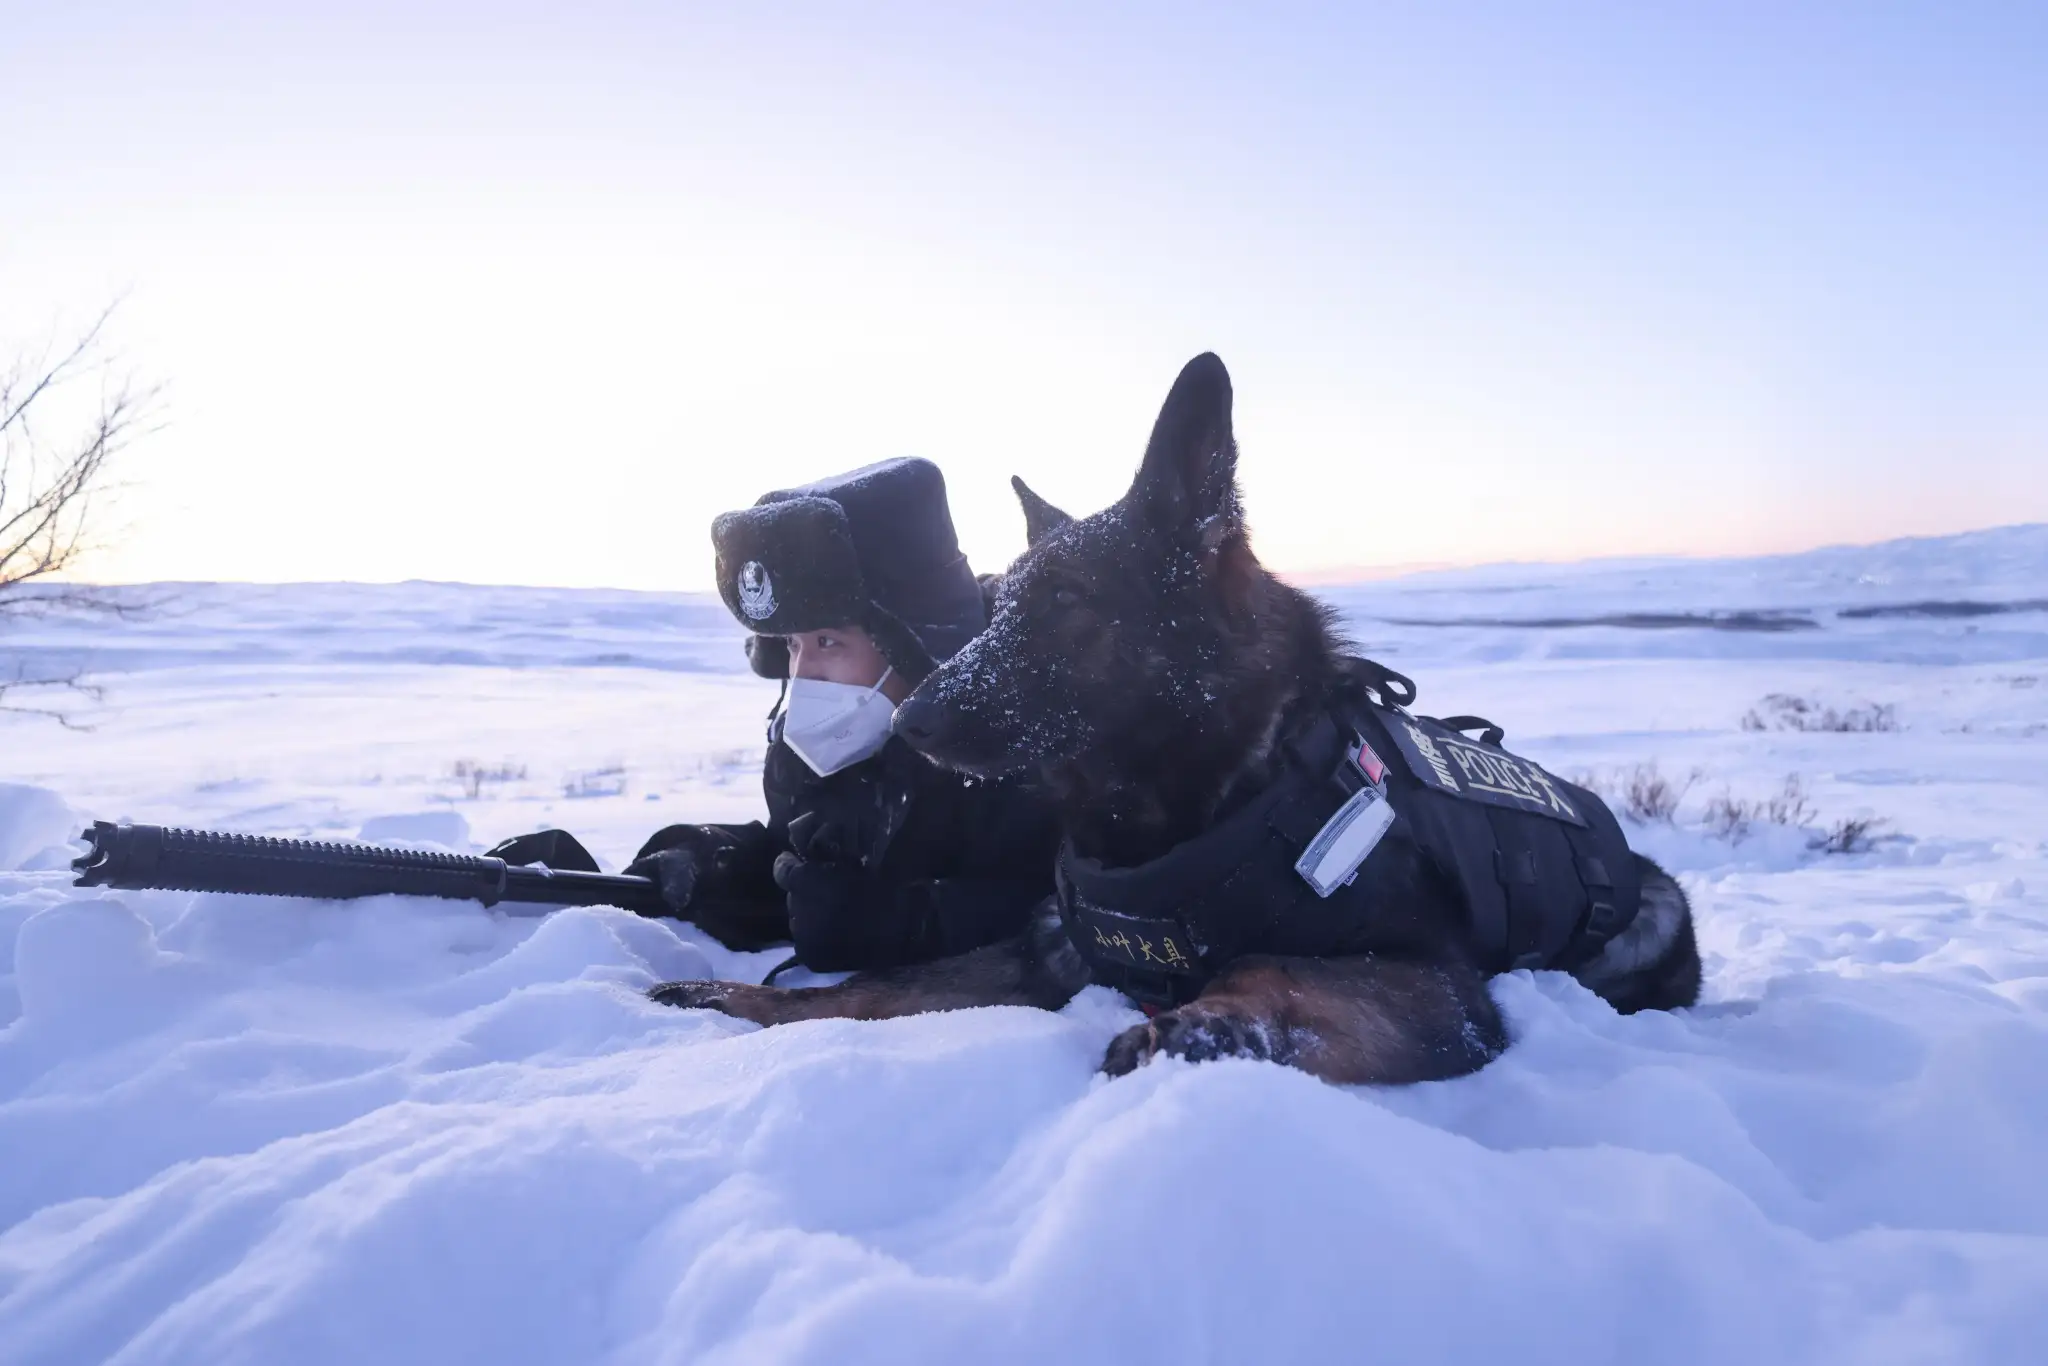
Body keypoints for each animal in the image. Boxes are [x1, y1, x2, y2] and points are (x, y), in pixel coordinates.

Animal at [651, 356, 1695, 1089]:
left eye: (1067, 602)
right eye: (1004, 604)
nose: (911, 721)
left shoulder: (1434, 982)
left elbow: (1281, 973)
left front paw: (1205, 1022)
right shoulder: (1041, 950)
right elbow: (877, 988)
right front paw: (732, 994)